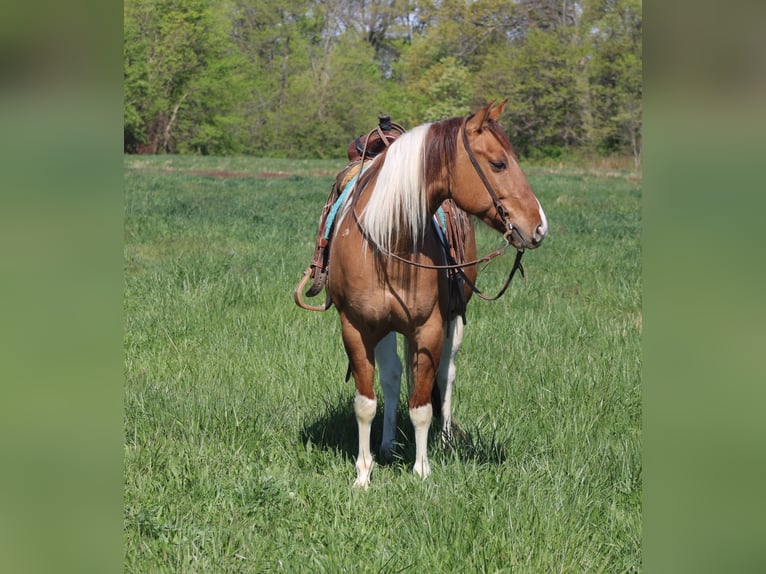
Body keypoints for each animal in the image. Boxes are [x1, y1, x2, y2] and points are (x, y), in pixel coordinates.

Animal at [324, 101, 544, 488]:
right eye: (498, 163)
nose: (538, 226)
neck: (388, 240)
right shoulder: (356, 329)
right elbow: (366, 403)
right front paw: (363, 475)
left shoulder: (428, 328)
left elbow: (423, 405)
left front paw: (422, 470)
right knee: (393, 377)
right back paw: (387, 445)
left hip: (453, 320)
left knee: (445, 375)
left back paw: (442, 440)